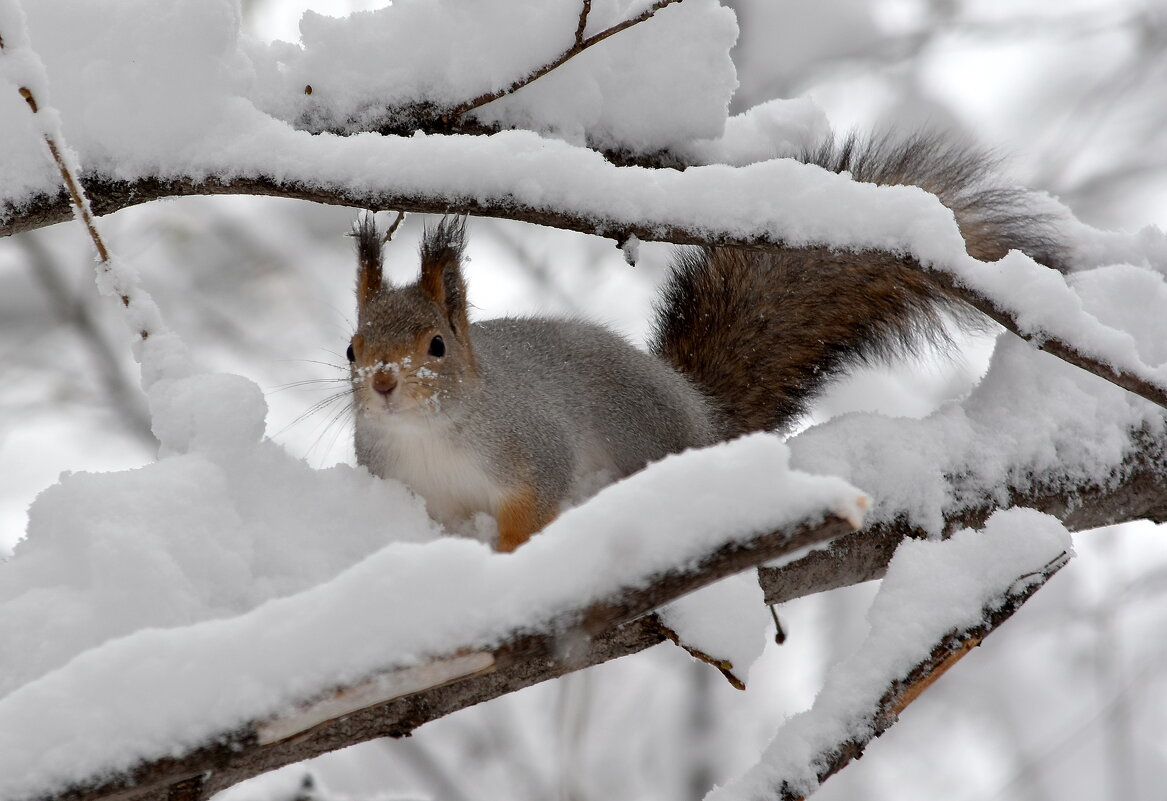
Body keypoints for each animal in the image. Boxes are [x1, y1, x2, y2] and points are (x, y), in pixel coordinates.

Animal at [345, 134, 1068, 555]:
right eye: (352, 349)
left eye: (437, 346)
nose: (383, 381)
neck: (429, 435)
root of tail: (699, 413)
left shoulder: (532, 447)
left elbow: (534, 505)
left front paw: (508, 554)